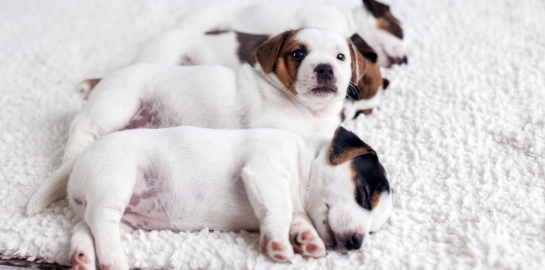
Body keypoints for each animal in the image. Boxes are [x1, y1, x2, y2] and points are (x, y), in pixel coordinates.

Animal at [65, 126, 392, 270]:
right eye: (364, 194)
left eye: (374, 231)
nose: (356, 243)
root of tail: (74, 170)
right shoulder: (266, 171)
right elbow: (280, 210)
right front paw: (278, 243)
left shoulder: (297, 206)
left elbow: (298, 219)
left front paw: (308, 239)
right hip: (115, 181)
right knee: (101, 221)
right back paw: (113, 260)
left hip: (122, 217)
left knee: (87, 228)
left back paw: (83, 257)